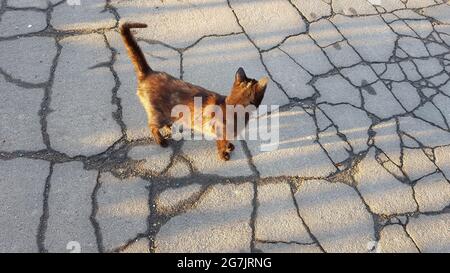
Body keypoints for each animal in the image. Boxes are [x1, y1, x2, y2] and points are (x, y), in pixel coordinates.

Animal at [119, 22, 268, 162]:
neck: (234, 106)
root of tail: (149, 73)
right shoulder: (219, 133)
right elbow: (221, 144)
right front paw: (224, 154)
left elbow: (227, 141)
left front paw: (229, 146)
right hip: (158, 115)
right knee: (151, 126)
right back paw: (161, 141)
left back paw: (169, 127)